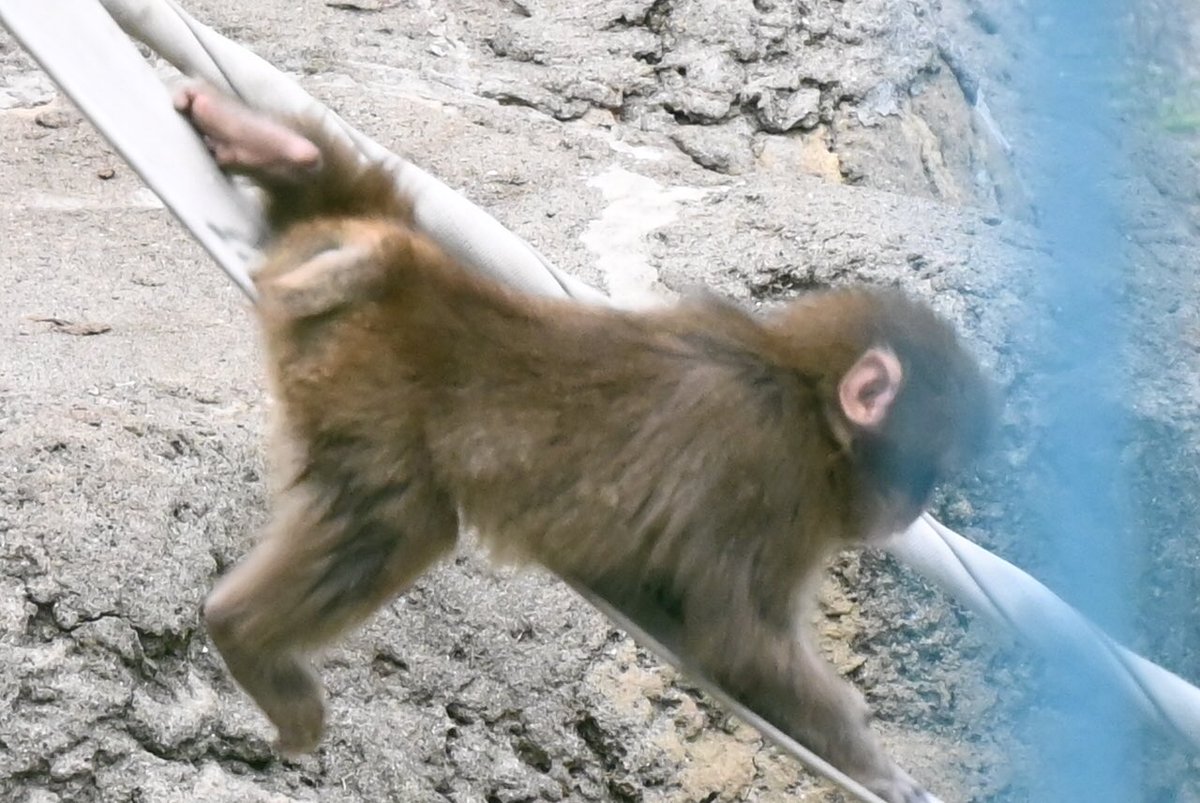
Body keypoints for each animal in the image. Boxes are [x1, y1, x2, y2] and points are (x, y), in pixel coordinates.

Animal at [177, 85, 993, 803]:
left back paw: (278, 150)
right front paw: (878, 768)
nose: (908, 507)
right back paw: (244, 637)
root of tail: (404, 271)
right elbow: (740, 637)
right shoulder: (766, 467)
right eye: (921, 465)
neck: (798, 385)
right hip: (366, 373)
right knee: (397, 518)